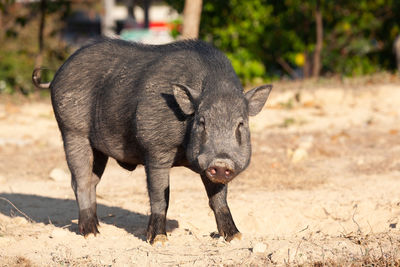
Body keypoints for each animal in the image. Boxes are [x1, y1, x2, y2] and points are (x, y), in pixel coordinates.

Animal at [32, 38, 272, 245]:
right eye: (202, 122)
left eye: (241, 125)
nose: (221, 163)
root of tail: (57, 74)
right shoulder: (156, 148)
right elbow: (160, 195)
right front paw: (159, 240)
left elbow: (219, 199)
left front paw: (236, 237)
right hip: (72, 131)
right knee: (79, 181)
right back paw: (91, 234)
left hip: (97, 147)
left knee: (92, 181)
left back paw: (99, 229)